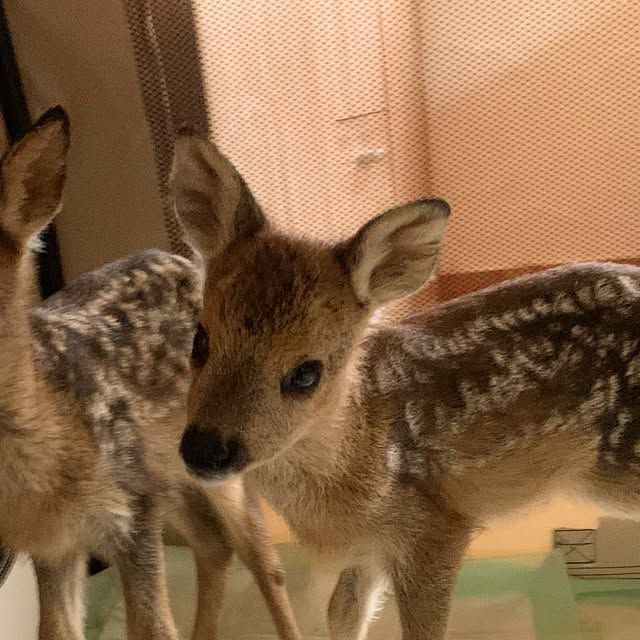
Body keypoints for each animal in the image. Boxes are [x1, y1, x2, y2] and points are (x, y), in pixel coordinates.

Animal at [0, 108, 301, 640]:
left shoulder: (132, 509)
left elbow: (154, 626)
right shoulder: (51, 545)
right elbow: (57, 630)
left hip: (213, 464)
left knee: (261, 559)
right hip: (171, 472)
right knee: (214, 547)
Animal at [170, 129, 640, 640]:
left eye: (306, 372)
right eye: (199, 339)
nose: (205, 449)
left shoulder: (434, 528)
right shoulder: (369, 548)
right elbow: (342, 614)